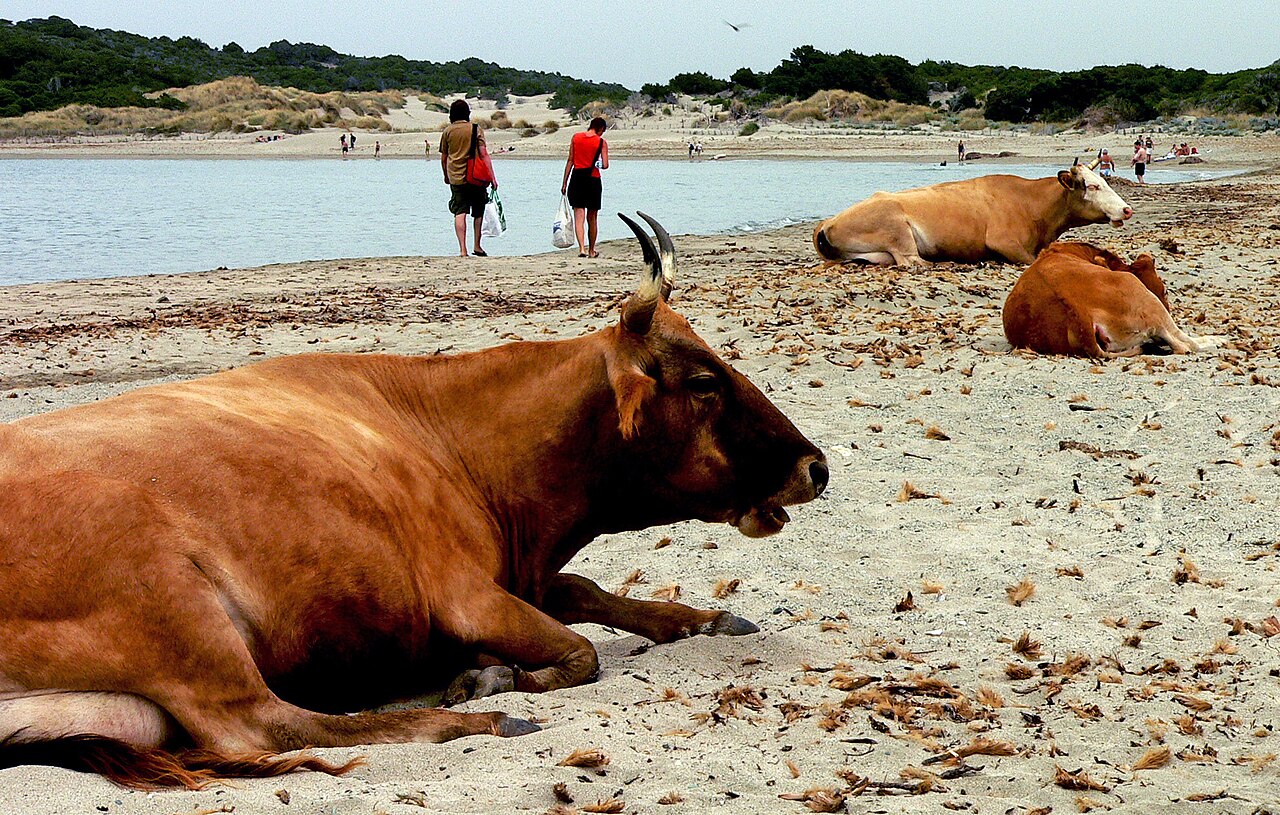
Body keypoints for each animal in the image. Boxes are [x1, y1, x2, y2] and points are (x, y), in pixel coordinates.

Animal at [0, 214, 828, 789]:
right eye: (704, 380)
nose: (816, 466)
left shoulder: (521, 572)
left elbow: (590, 590)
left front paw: (703, 617)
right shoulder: (463, 590)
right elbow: (579, 650)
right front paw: (493, 677)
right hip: (174, 600)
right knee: (264, 725)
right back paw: (487, 717)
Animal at [813, 163, 1134, 266]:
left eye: (1105, 181)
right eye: (1093, 186)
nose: (1127, 209)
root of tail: (828, 221)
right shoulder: (1003, 241)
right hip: (896, 226)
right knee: (912, 262)